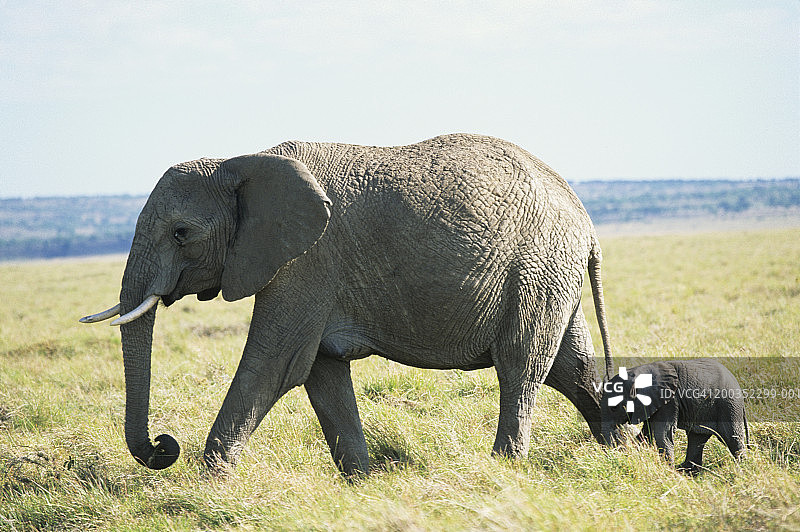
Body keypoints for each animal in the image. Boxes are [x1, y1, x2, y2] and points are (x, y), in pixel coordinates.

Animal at [80, 133, 617, 476]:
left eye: (181, 234)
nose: (163, 444)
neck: (240, 161)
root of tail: (587, 222)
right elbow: (320, 372)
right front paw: (362, 483)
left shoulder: (307, 261)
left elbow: (274, 365)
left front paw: (212, 482)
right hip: (551, 275)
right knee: (572, 366)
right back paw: (624, 451)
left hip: (535, 269)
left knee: (521, 367)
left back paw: (503, 469)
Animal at [601, 360, 749, 475]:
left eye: (614, 408)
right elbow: (646, 433)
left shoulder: (669, 401)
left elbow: (662, 434)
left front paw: (667, 470)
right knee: (696, 438)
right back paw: (686, 471)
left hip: (729, 406)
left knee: (732, 437)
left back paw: (741, 468)